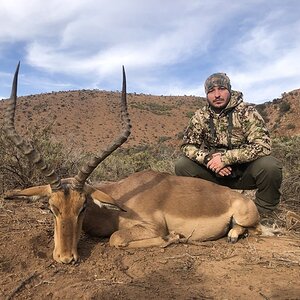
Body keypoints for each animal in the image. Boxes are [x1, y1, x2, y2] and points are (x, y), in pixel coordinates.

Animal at [3, 62, 258, 262]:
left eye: (83, 207)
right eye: (51, 208)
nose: (66, 258)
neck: (121, 200)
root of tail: (239, 197)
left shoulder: (151, 227)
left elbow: (116, 238)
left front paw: (173, 237)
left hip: (245, 218)